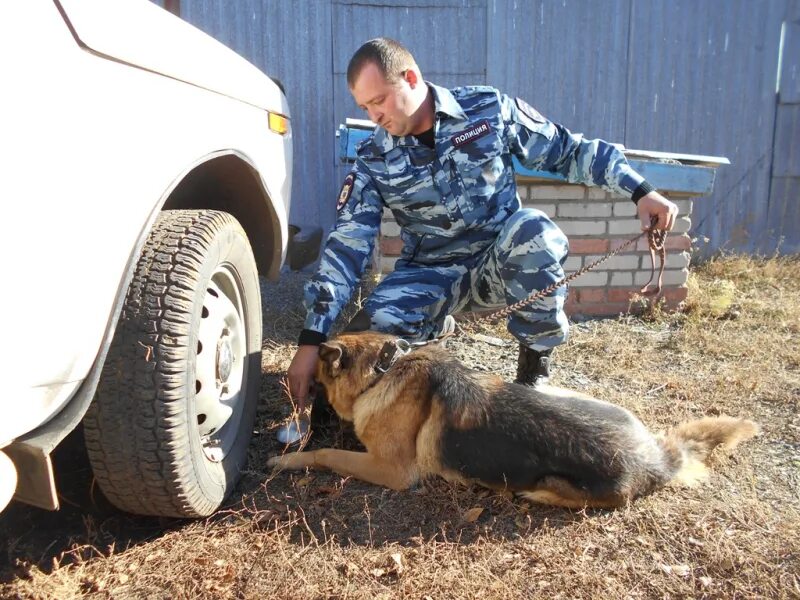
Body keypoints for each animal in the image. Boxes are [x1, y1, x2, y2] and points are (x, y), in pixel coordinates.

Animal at [268, 332, 756, 506]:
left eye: (315, 384)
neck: (384, 369)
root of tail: (657, 458)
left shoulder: (392, 471)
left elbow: (328, 453)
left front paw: (290, 460)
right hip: (556, 391)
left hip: (563, 486)